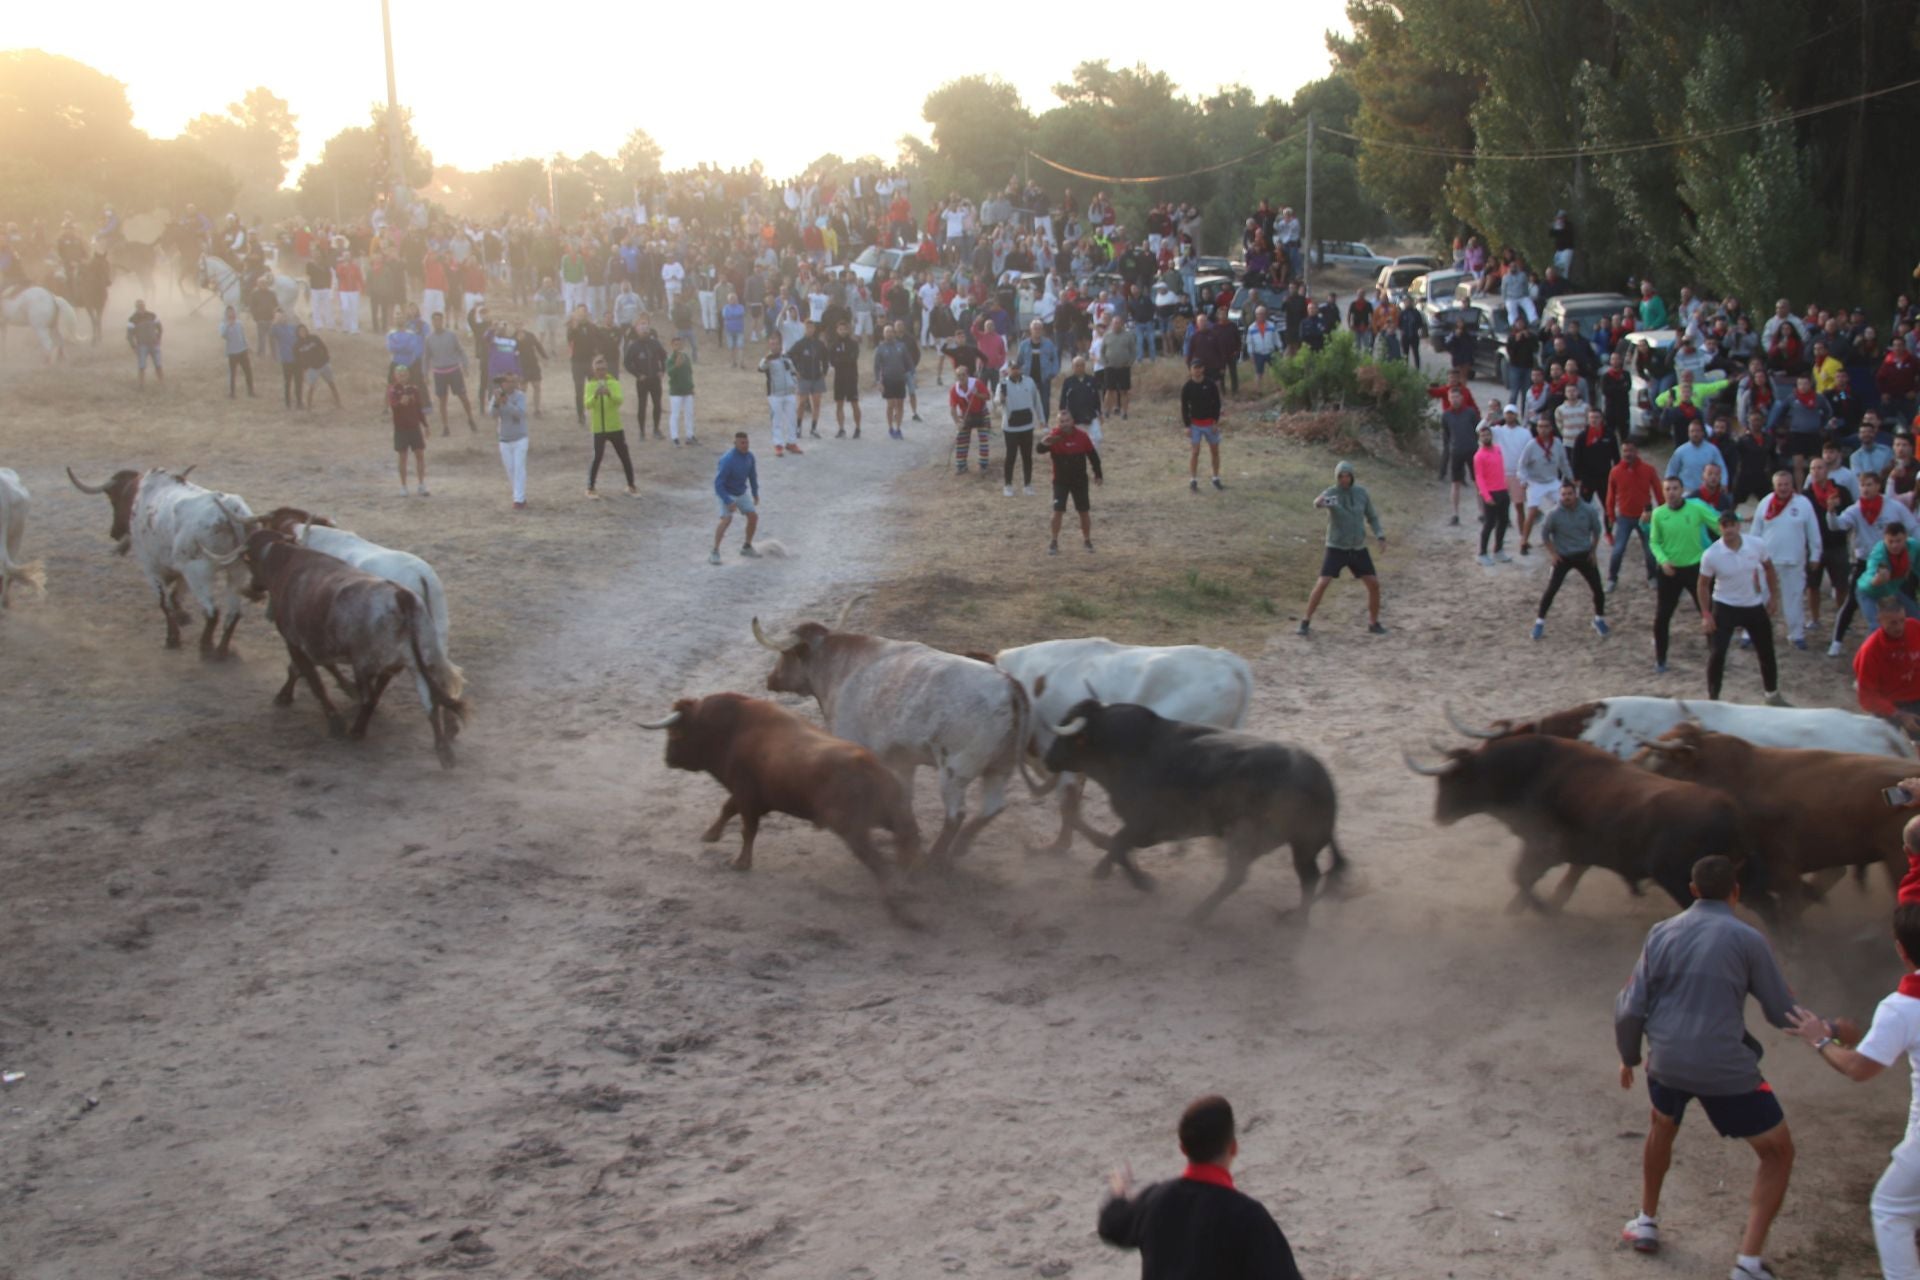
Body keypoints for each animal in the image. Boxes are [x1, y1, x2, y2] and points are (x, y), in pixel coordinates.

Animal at [215, 529, 468, 771]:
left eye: (248, 560)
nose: (253, 589)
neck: (287, 562)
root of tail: (402, 596)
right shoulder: (321, 643)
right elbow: (323, 668)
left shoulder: (296, 641)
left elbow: (312, 679)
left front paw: (330, 719)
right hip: (418, 659)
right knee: (430, 696)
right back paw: (444, 749)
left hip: (369, 661)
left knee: (371, 696)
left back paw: (357, 730)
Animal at [637, 694, 921, 905]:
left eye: (675, 733)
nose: (667, 759)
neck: (731, 729)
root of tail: (873, 767)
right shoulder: (746, 795)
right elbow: (728, 809)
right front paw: (710, 835)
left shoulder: (746, 794)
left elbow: (747, 828)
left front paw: (741, 863)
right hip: (891, 814)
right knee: (909, 839)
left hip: (853, 827)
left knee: (882, 854)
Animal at [1405, 736, 1758, 917]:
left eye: (1453, 780)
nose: (1438, 815)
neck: (1528, 771)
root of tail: (1728, 809)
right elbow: (1536, 878)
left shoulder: (1545, 847)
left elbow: (1522, 876)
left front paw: (1541, 910)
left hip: (1681, 881)